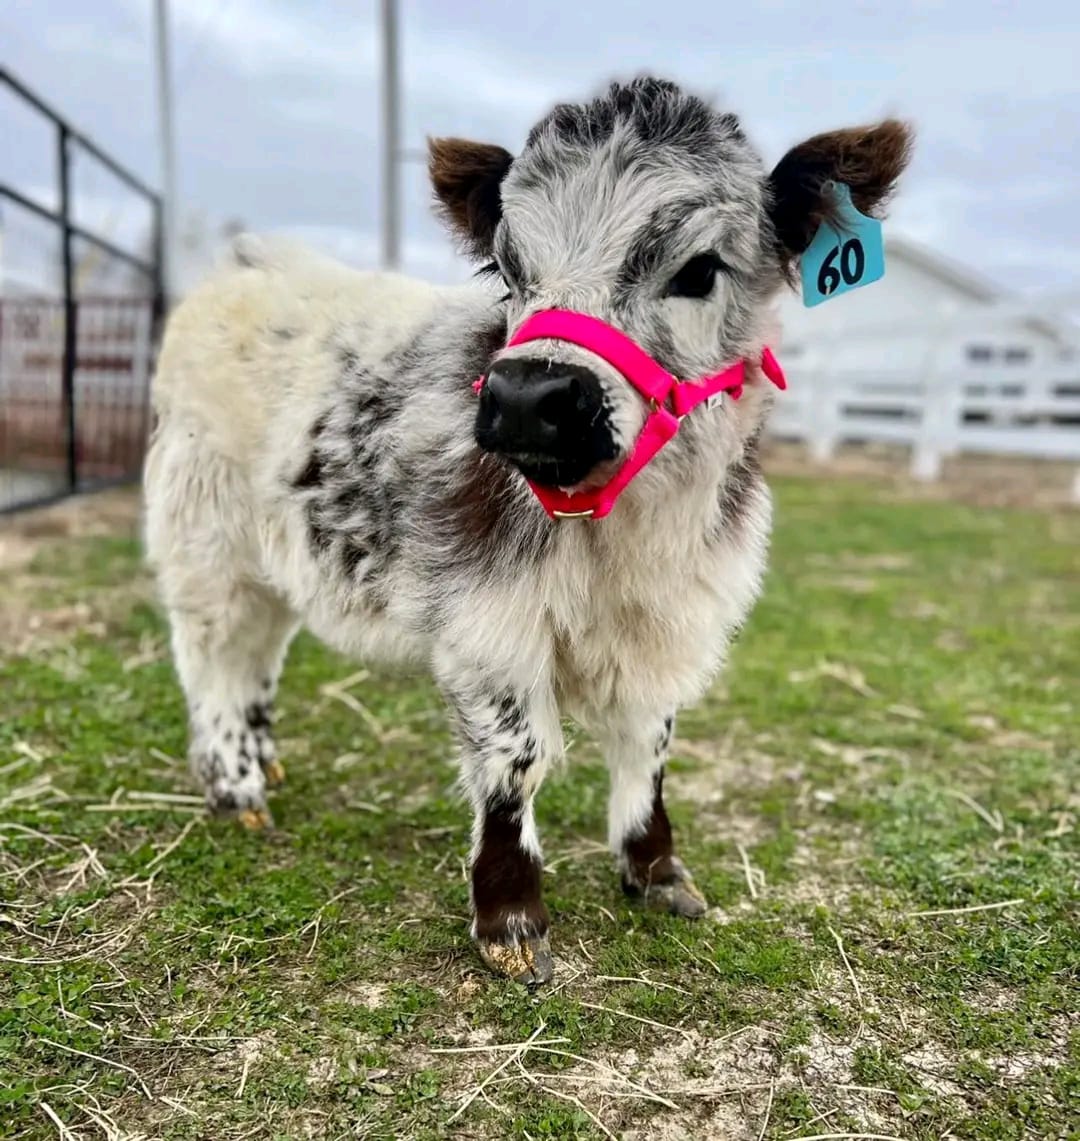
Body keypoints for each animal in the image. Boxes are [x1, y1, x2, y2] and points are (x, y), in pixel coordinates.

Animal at [143, 76, 912, 984]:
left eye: (698, 270)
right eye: (510, 269)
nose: (524, 399)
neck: (631, 535)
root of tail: (249, 263)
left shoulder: (675, 622)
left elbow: (648, 743)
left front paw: (656, 869)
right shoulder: (488, 626)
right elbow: (515, 760)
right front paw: (510, 917)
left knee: (260, 653)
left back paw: (263, 759)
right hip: (204, 540)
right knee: (213, 659)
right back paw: (235, 786)